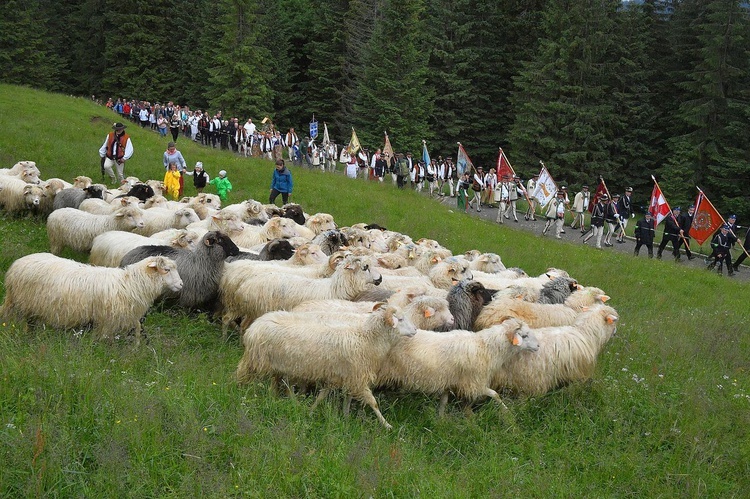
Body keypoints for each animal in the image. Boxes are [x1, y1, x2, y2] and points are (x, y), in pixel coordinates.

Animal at [0, 252, 182, 346]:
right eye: (166, 270)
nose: (181, 284)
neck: (131, 284)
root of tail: (16, 265)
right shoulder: (106, 322)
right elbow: (103, 342)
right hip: (21, 303)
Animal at [217, 256, 382, 334]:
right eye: (365, 267)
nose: (380, 278)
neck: (334, 288)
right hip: (237, 305)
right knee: (226, 319)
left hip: (252, 310)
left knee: (243, 325)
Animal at [236, 304, 418, 430]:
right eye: (400, 319)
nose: (416, 330)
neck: (365, 338)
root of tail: (255, 325)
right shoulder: (357, 376)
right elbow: (373, 403)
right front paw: (387, 425)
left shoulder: (344, 375)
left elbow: (329, 395)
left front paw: (338, 414)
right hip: (256, 361)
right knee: (243, 377)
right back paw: (239, 394)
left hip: (280, 366)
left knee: (279, 384)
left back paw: (280, 400)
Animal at [378, 320, 536, 418]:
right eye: (524, 335)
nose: (538, 346)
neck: (486, 348)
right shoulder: (473, 383)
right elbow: (495, 394)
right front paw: (508, 413)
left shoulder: (449, 380)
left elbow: (443, 401)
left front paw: (441, 420)